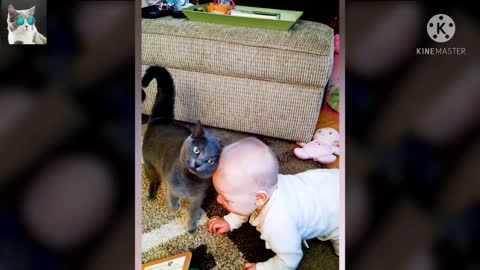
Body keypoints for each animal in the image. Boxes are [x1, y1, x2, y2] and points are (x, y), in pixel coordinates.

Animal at [140, 66, 220, 234]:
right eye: (196, 150)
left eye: (211, 161)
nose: (197, 163)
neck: (191, 182)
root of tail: (161, 119)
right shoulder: (170, 185)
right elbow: (172, 198)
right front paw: (175, 208)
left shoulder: (197, 199)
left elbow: (193, 214)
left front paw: (191, 229)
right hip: (150, 164)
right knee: (153, 179)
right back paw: (151, 194)